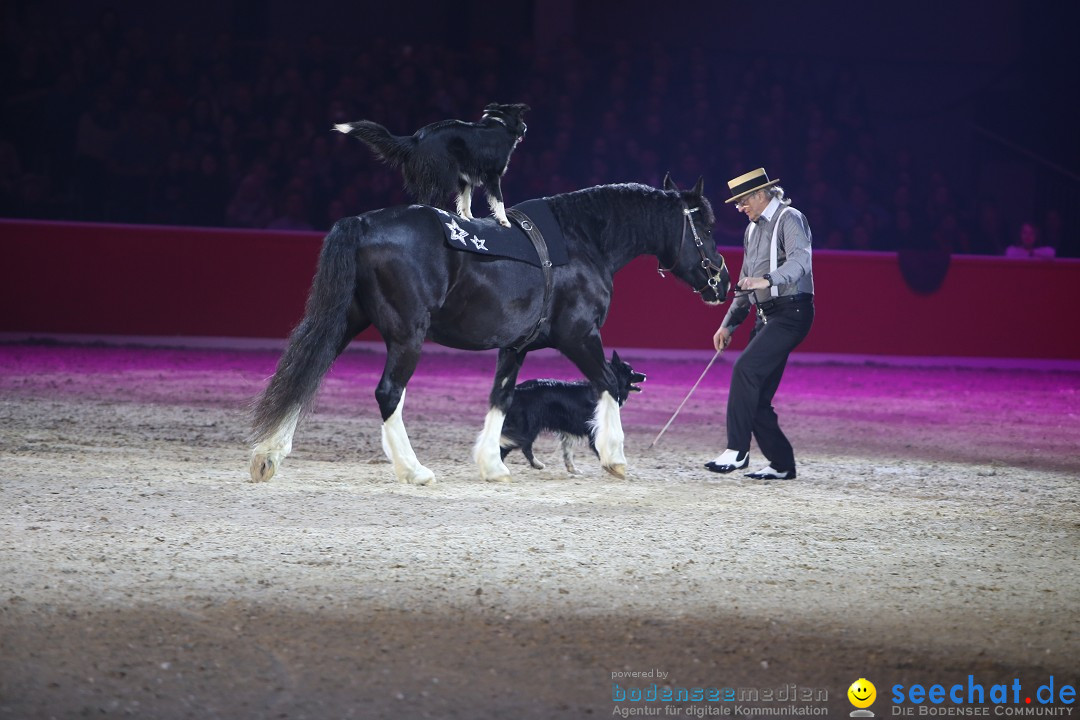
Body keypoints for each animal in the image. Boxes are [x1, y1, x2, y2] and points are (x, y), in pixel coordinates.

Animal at [332, 102, 527, 226]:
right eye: (521, 119)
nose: (526, 127)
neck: (501, 125)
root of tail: (416, 139)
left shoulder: (465, 179)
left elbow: (465, 200)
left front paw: (468, 218)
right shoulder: (492, 176)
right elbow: (498, 199)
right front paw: (504, 221)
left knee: (424, 200)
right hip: (445, 174)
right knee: (437, 201)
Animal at [501, 351, 643, 474]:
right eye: (631, 371)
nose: (644, 375)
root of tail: (517, 390)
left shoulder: (569, 430)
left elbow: (568, 452)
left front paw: (572, 469)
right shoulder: (595, 429)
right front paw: (615, 468)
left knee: (522, 446)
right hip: (526, 428)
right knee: (512, 446)